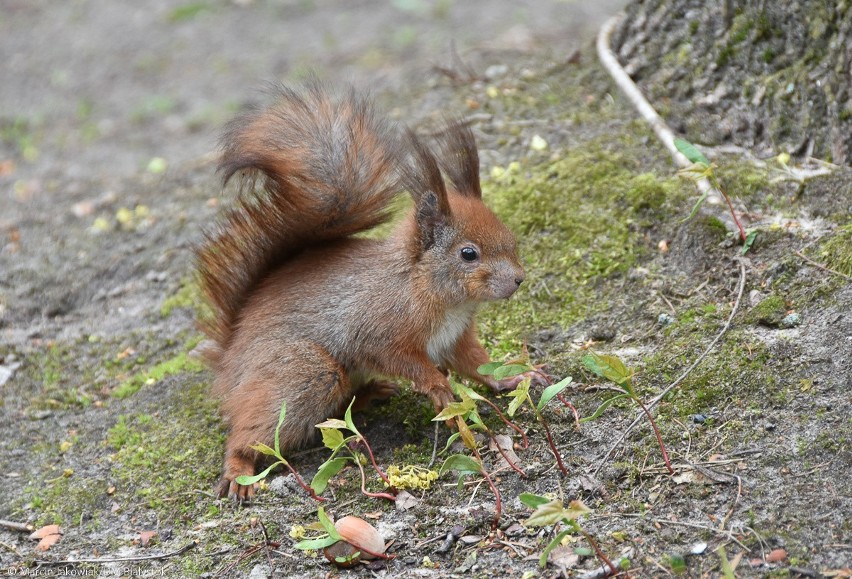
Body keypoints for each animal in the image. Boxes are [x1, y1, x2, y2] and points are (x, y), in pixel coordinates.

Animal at [201, 84, 532, 500]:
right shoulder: (378, 329)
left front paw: (508, 380)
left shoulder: (456, 337)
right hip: (303, 374)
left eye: (509, 235)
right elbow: (403, 360)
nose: (519, 279)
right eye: (468, 254)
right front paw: (439, 389)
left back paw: (369, 396)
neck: (423, 285)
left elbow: (476, 363)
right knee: (252, 429)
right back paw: (239, 467)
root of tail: (229, 356)